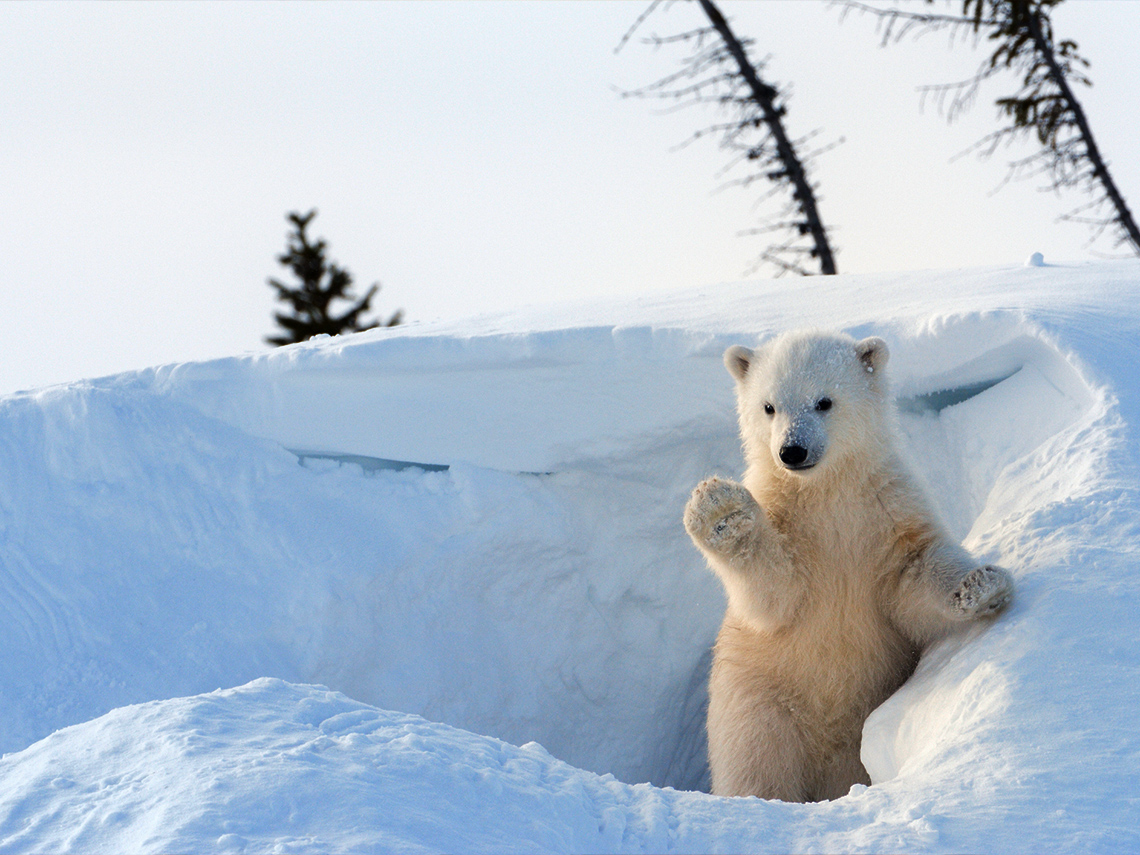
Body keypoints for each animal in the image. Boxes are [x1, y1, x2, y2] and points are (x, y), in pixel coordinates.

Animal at [683, 329, 1013, 803]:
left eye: (824, 401)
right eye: (769, 406)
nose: (792, 450)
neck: (826, 493)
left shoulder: (886, 510)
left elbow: (913, 574)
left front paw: (982, 585)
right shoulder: (788, 524)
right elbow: (775, 594)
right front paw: (720, 511)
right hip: (759, 703)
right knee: (757, 766)